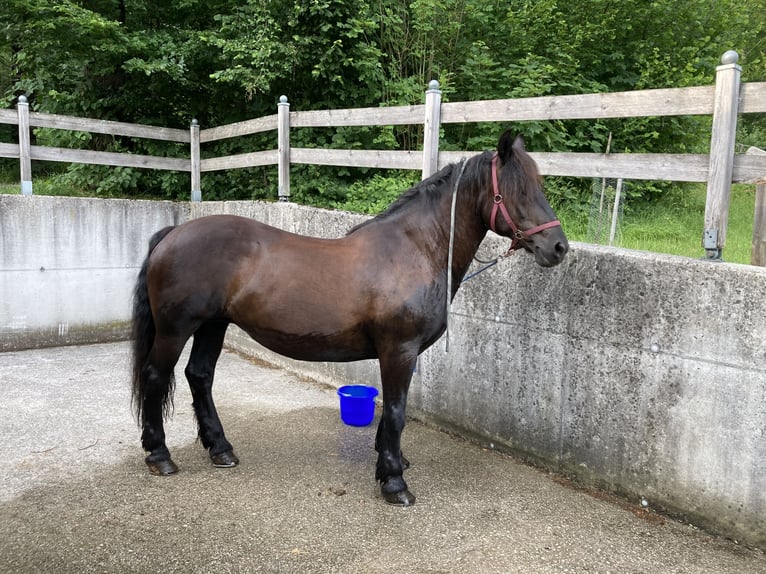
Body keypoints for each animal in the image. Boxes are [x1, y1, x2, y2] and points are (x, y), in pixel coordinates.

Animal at [129, 132, 568, 508]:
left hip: (213, 325)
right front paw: (394, 483)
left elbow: (391, 411)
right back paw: (159, 454)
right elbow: (397, 411)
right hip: (175, 330)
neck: (415, 250)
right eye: (520, 190)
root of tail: (172, 233)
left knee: (200, 376)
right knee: (155, 377)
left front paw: (392, 463)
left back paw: (220, 449)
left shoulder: (399, 355)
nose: (559, 247)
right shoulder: (399, 351)